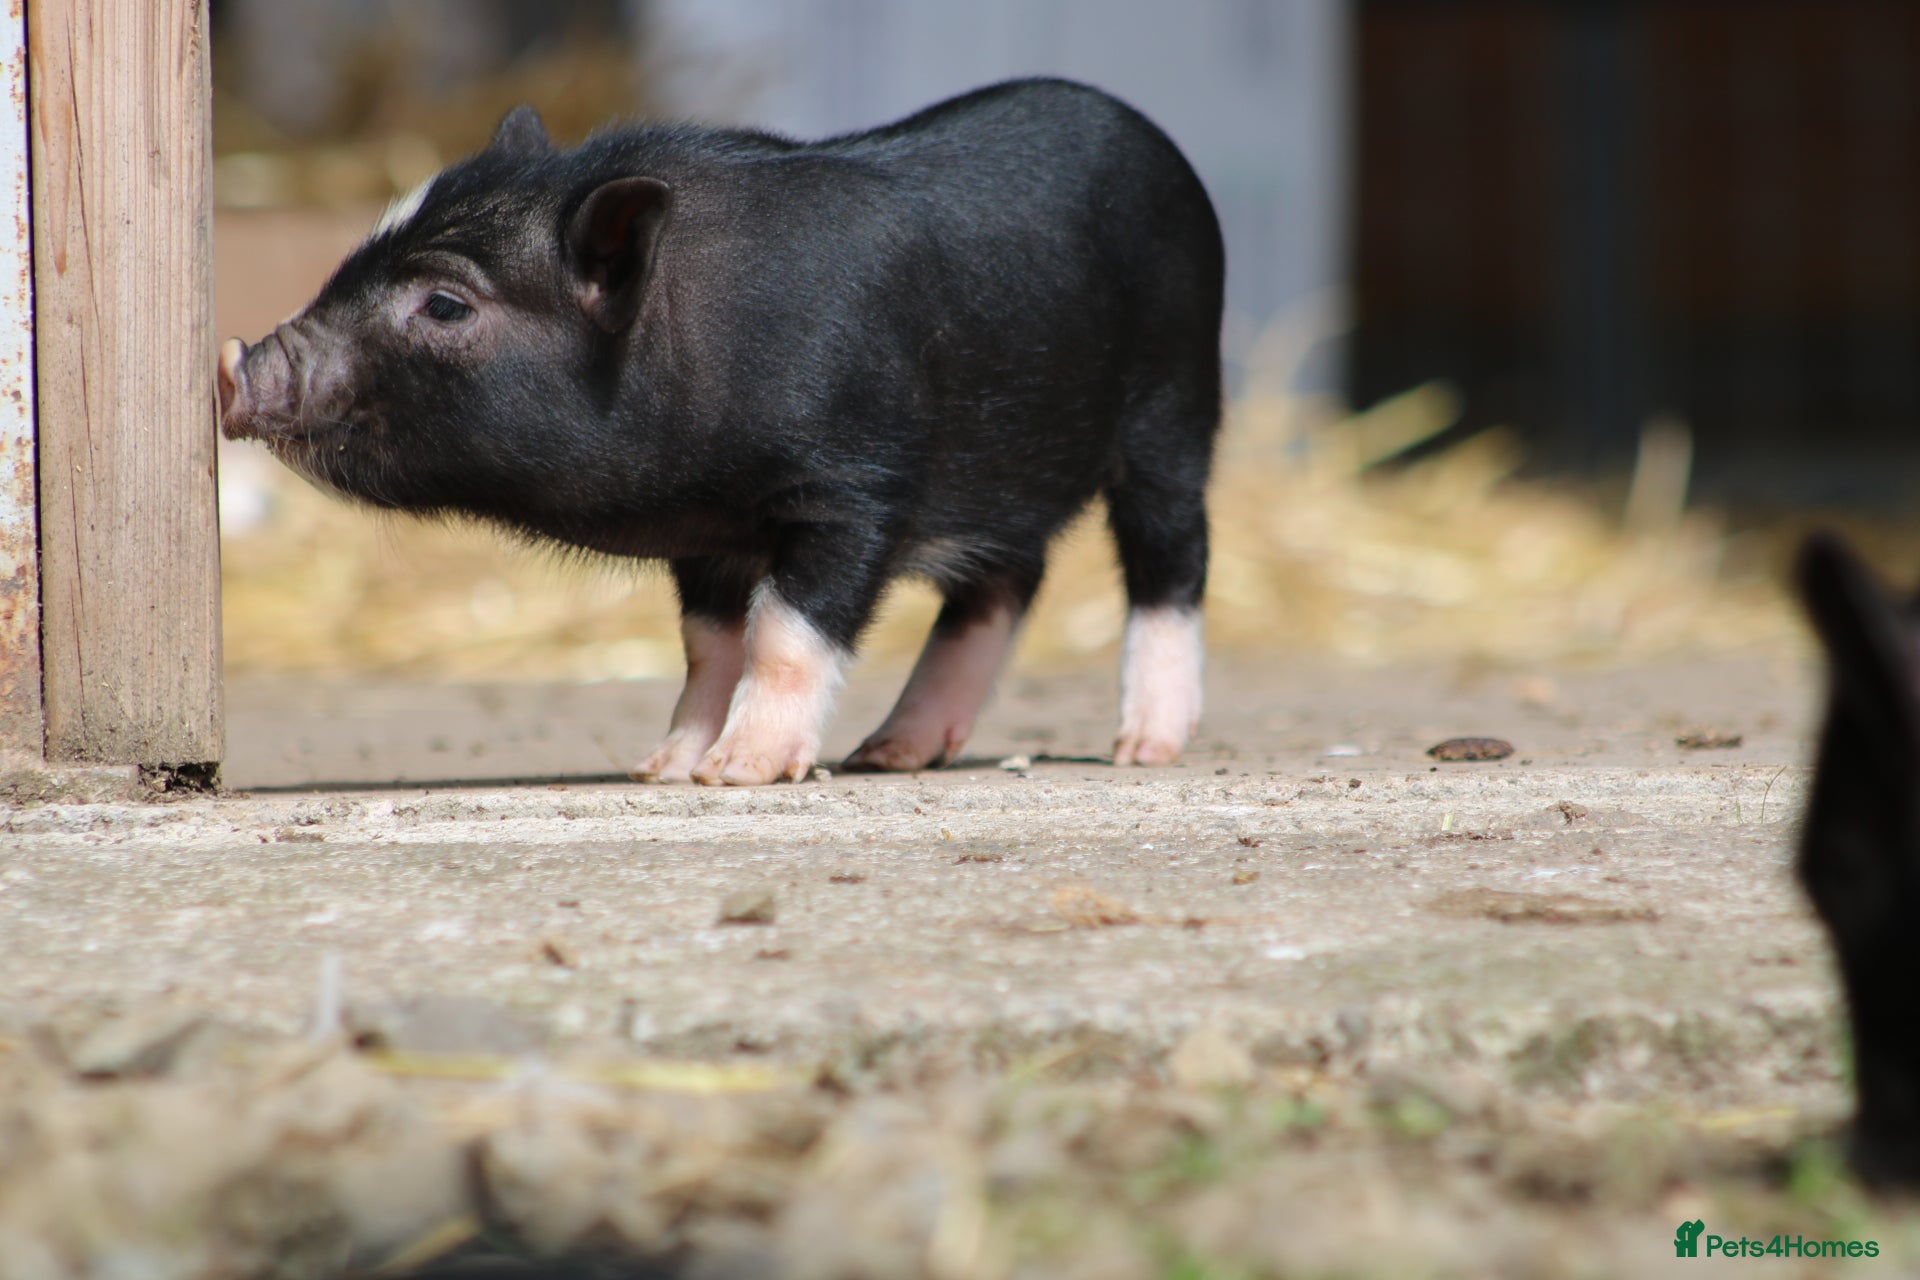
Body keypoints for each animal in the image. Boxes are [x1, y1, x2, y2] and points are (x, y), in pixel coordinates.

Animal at [218, 78, 1224, 786]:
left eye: (445, 304)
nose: (236, 365)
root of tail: (1155, 141)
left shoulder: (853, 488)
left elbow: (783, 630)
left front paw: (738, 772)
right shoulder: (706, 536)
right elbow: (710, 644)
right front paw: (661, 770)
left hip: (1174, 406)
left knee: (1169, 561)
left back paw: (1144, 748)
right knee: (1007, 579)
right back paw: (890, 754)